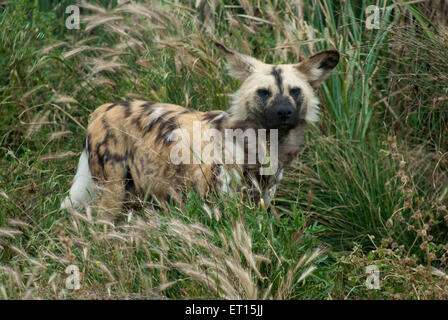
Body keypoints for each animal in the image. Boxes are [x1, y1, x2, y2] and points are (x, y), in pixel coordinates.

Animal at [61, 41, 338, 218]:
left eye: (295, 91)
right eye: (263, 92)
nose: (283, 112)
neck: (266, 145)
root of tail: (102, 108)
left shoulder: (263, 198)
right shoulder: (218, 203)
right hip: (112, 192)